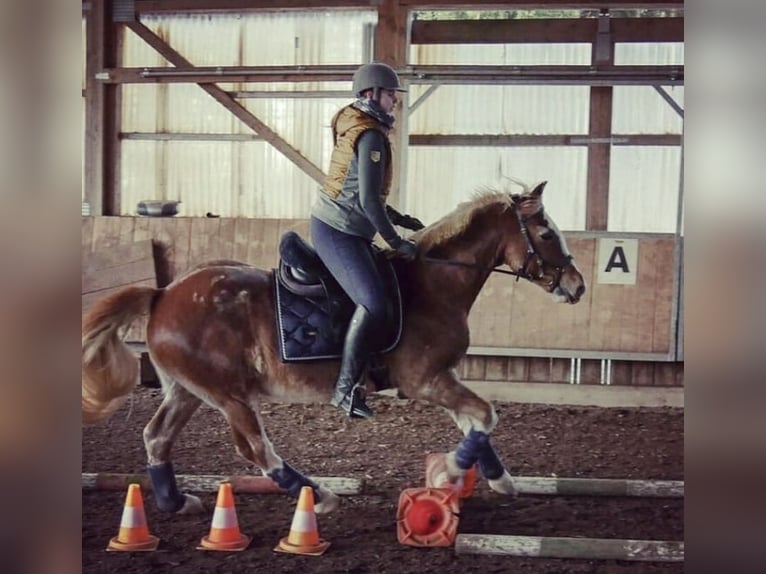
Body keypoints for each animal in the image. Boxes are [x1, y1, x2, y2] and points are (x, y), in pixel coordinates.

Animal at [82, 181, 588, 516]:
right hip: (228, 395)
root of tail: (162, 294)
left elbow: (475, 423)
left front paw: (496, 479)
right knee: (254, 449)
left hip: (187, 390)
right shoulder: (425, 381)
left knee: (157, 436)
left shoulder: (443, 377)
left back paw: (174, 501)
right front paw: (447, 473)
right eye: (546, 233)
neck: (434, 283)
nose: (577, 286)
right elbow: (484, 416)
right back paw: (317, 495)